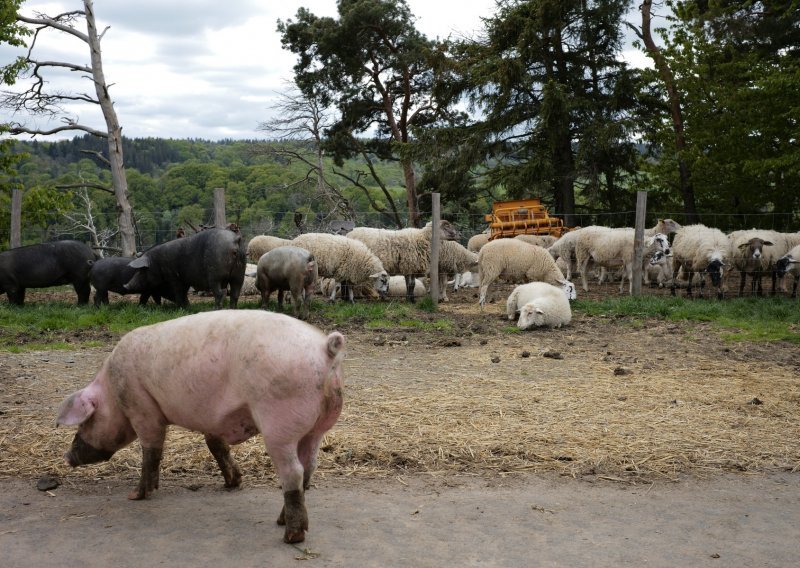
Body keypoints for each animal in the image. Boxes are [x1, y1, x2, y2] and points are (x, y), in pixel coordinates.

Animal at [56, 308, 344, 544]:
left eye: (85, 421)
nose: (67, 457)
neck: (112, 393)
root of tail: (325, 348)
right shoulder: (213, 418)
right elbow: (215, 445)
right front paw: (232, 483)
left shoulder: (142, 408)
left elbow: (151, 451)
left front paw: (135, 495)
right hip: (317, 428)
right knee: (309, 466)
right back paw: (281, 520)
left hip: (278, 424)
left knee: (293, 472)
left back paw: (291, 535)